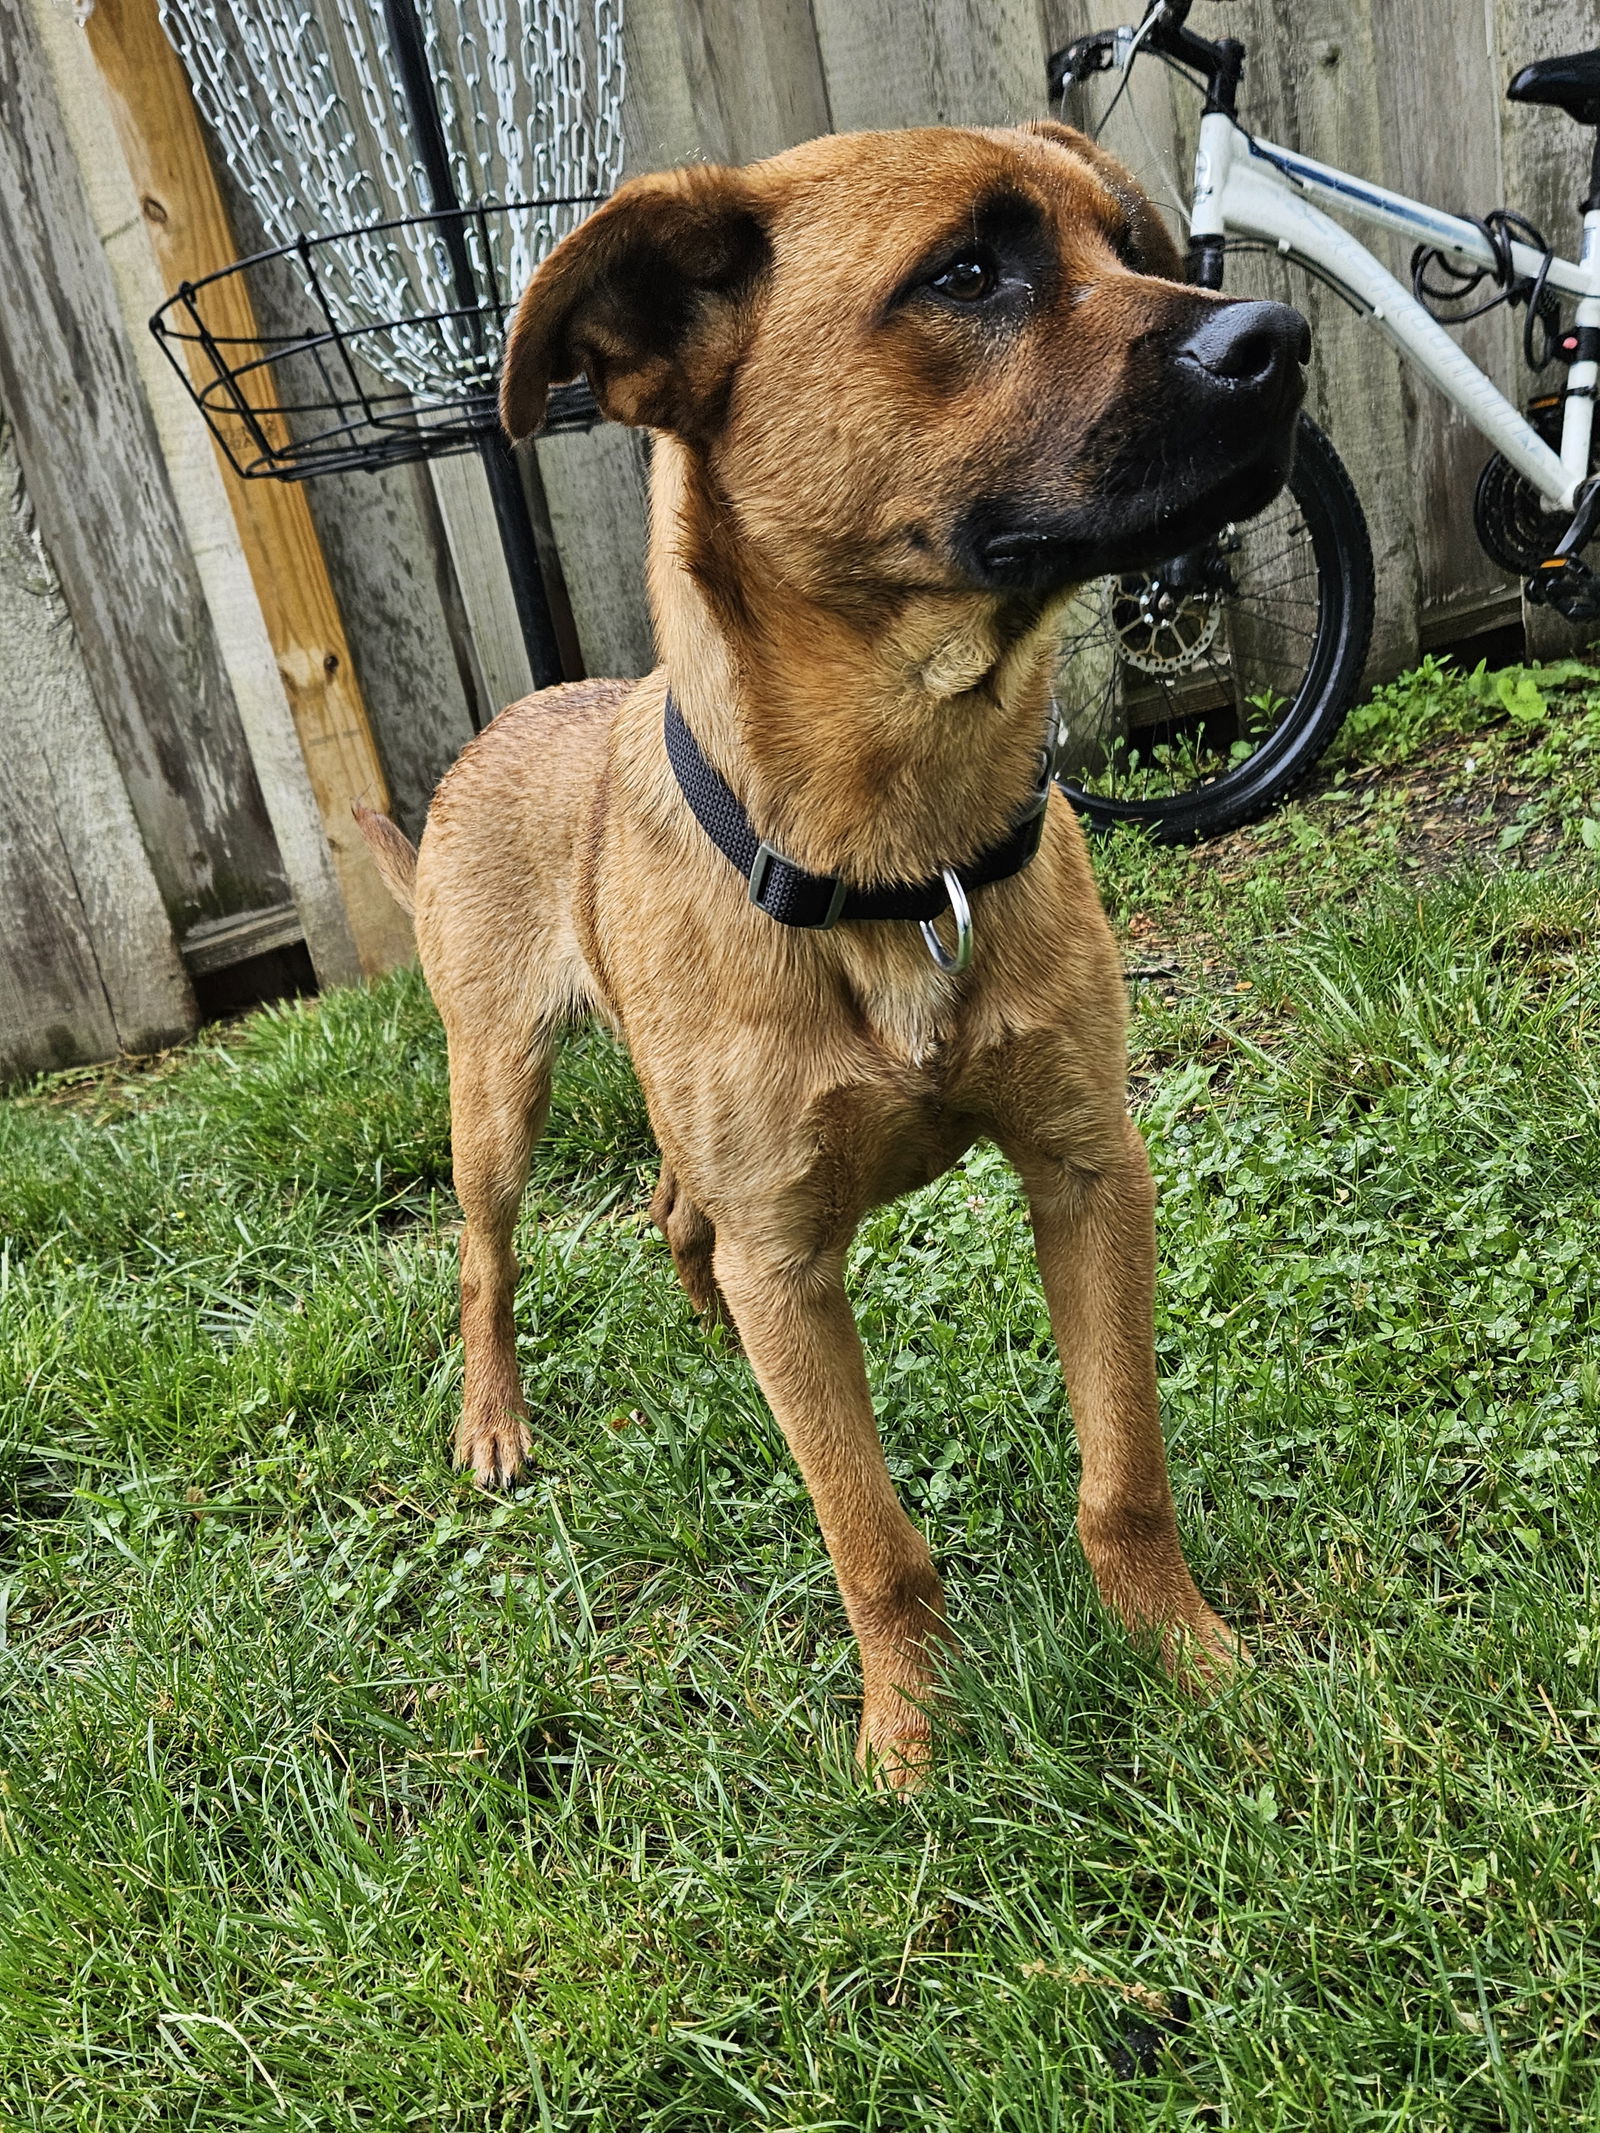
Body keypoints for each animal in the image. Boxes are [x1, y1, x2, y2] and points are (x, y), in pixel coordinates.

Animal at [356, 121, 1305, 1783]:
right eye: (966, 274)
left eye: (1133, 245)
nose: (1286, 337)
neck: (900, 859)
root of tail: (504, 722)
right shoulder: (793, 1252)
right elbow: (874, 1544)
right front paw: (913, 1743)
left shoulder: (1087, 1171)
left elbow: (1123, 1473)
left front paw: (1184, 1659)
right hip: (497, 1097)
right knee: (488, 1258)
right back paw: (495, 1417)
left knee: (676, 1214)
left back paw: (707, 1334)